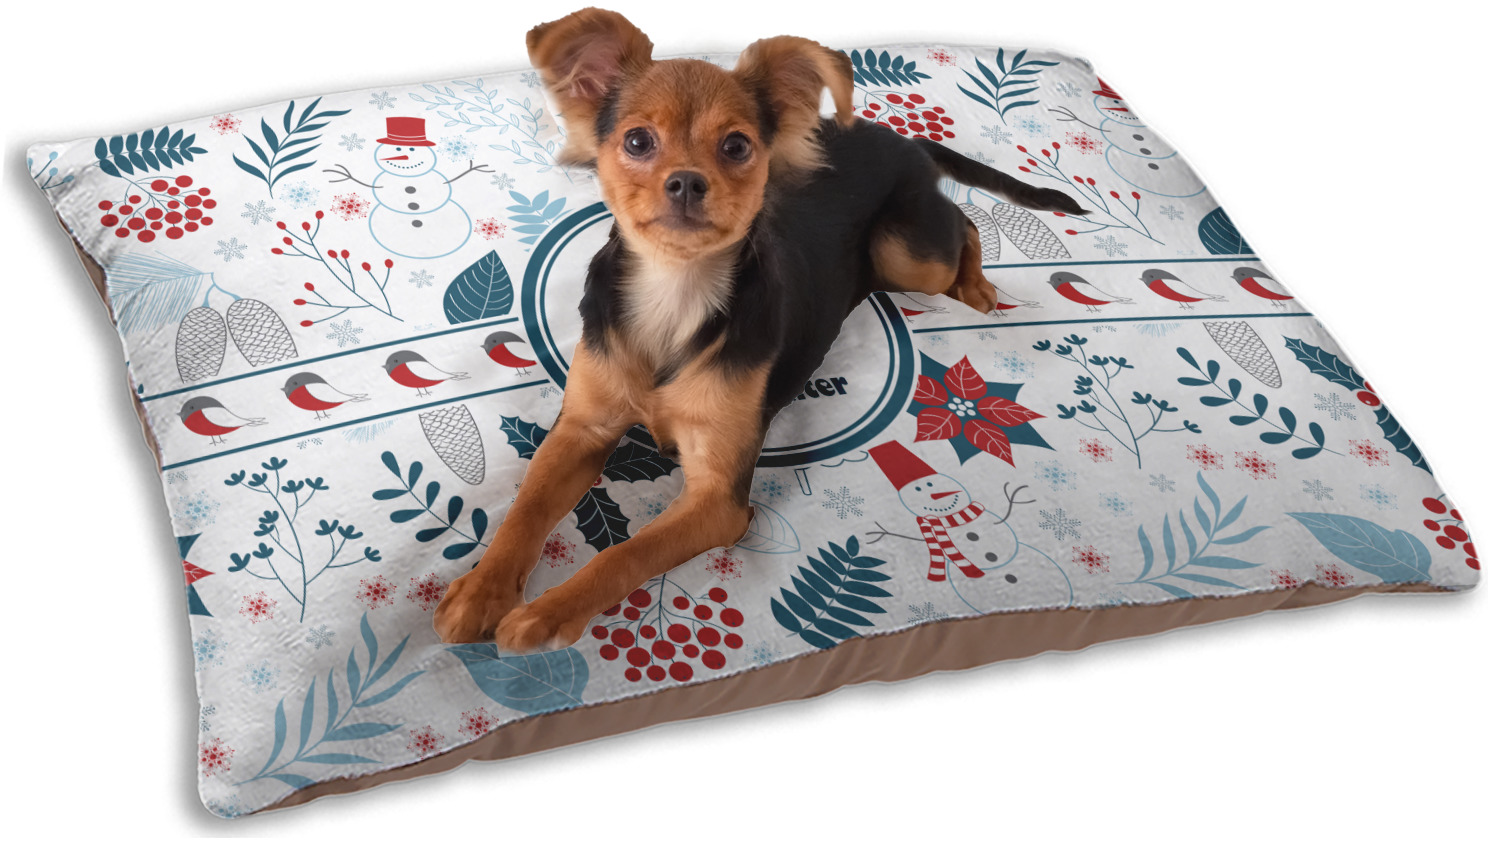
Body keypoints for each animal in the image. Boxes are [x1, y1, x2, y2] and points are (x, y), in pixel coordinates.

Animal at [433, 7, 1086, 651]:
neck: (676, 294)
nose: (687, 182)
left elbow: (625, 555)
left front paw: (546, 613)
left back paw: (977, 288)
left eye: (737, 146)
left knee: (964, 225)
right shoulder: (582, 428)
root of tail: (898, 137)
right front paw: (480, 591)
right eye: (638, 141)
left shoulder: (718, 497)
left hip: (906, 254)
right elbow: (527, 507)